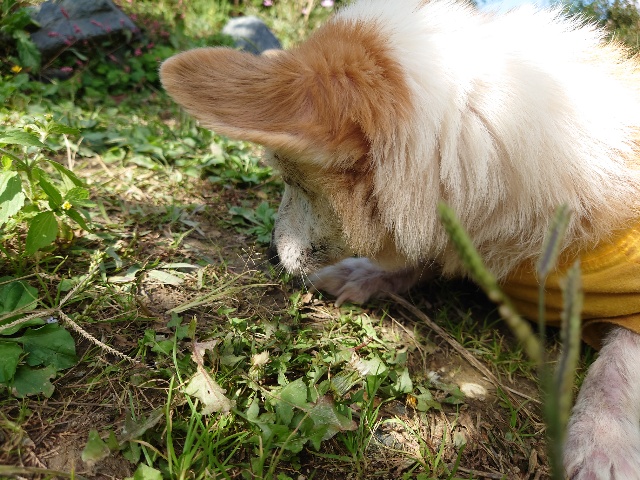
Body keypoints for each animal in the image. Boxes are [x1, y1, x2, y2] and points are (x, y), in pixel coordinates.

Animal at [160, 1, 640, 477]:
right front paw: (362, 274)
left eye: (292, 180)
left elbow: (617, 369)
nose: (271, 256)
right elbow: (422, 258)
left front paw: (600, 444)